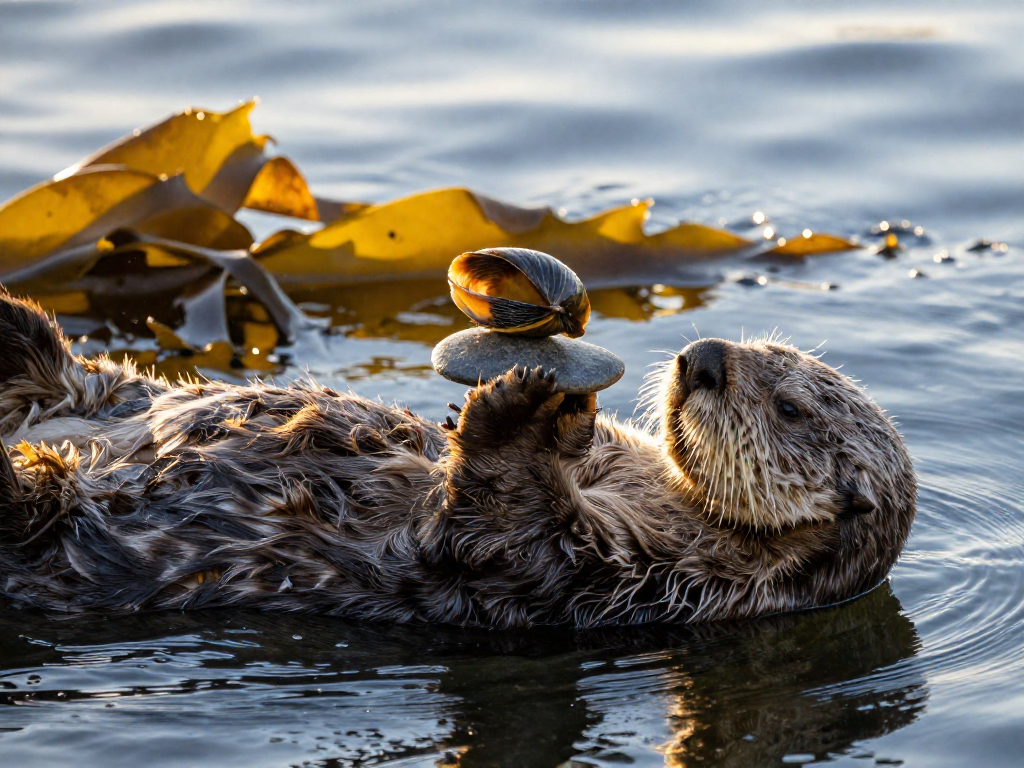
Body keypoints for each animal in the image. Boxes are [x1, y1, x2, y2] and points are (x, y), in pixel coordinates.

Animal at [0, 290, 916, 627]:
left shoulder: (625, 579)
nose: (703, 357)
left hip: (48, 523)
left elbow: (504, 524)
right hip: (101, 393)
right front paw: (562, 409)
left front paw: (516, 410)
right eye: (767, 347)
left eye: (790, 406)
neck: (670, 500)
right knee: (62, 372)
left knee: (30, 500)